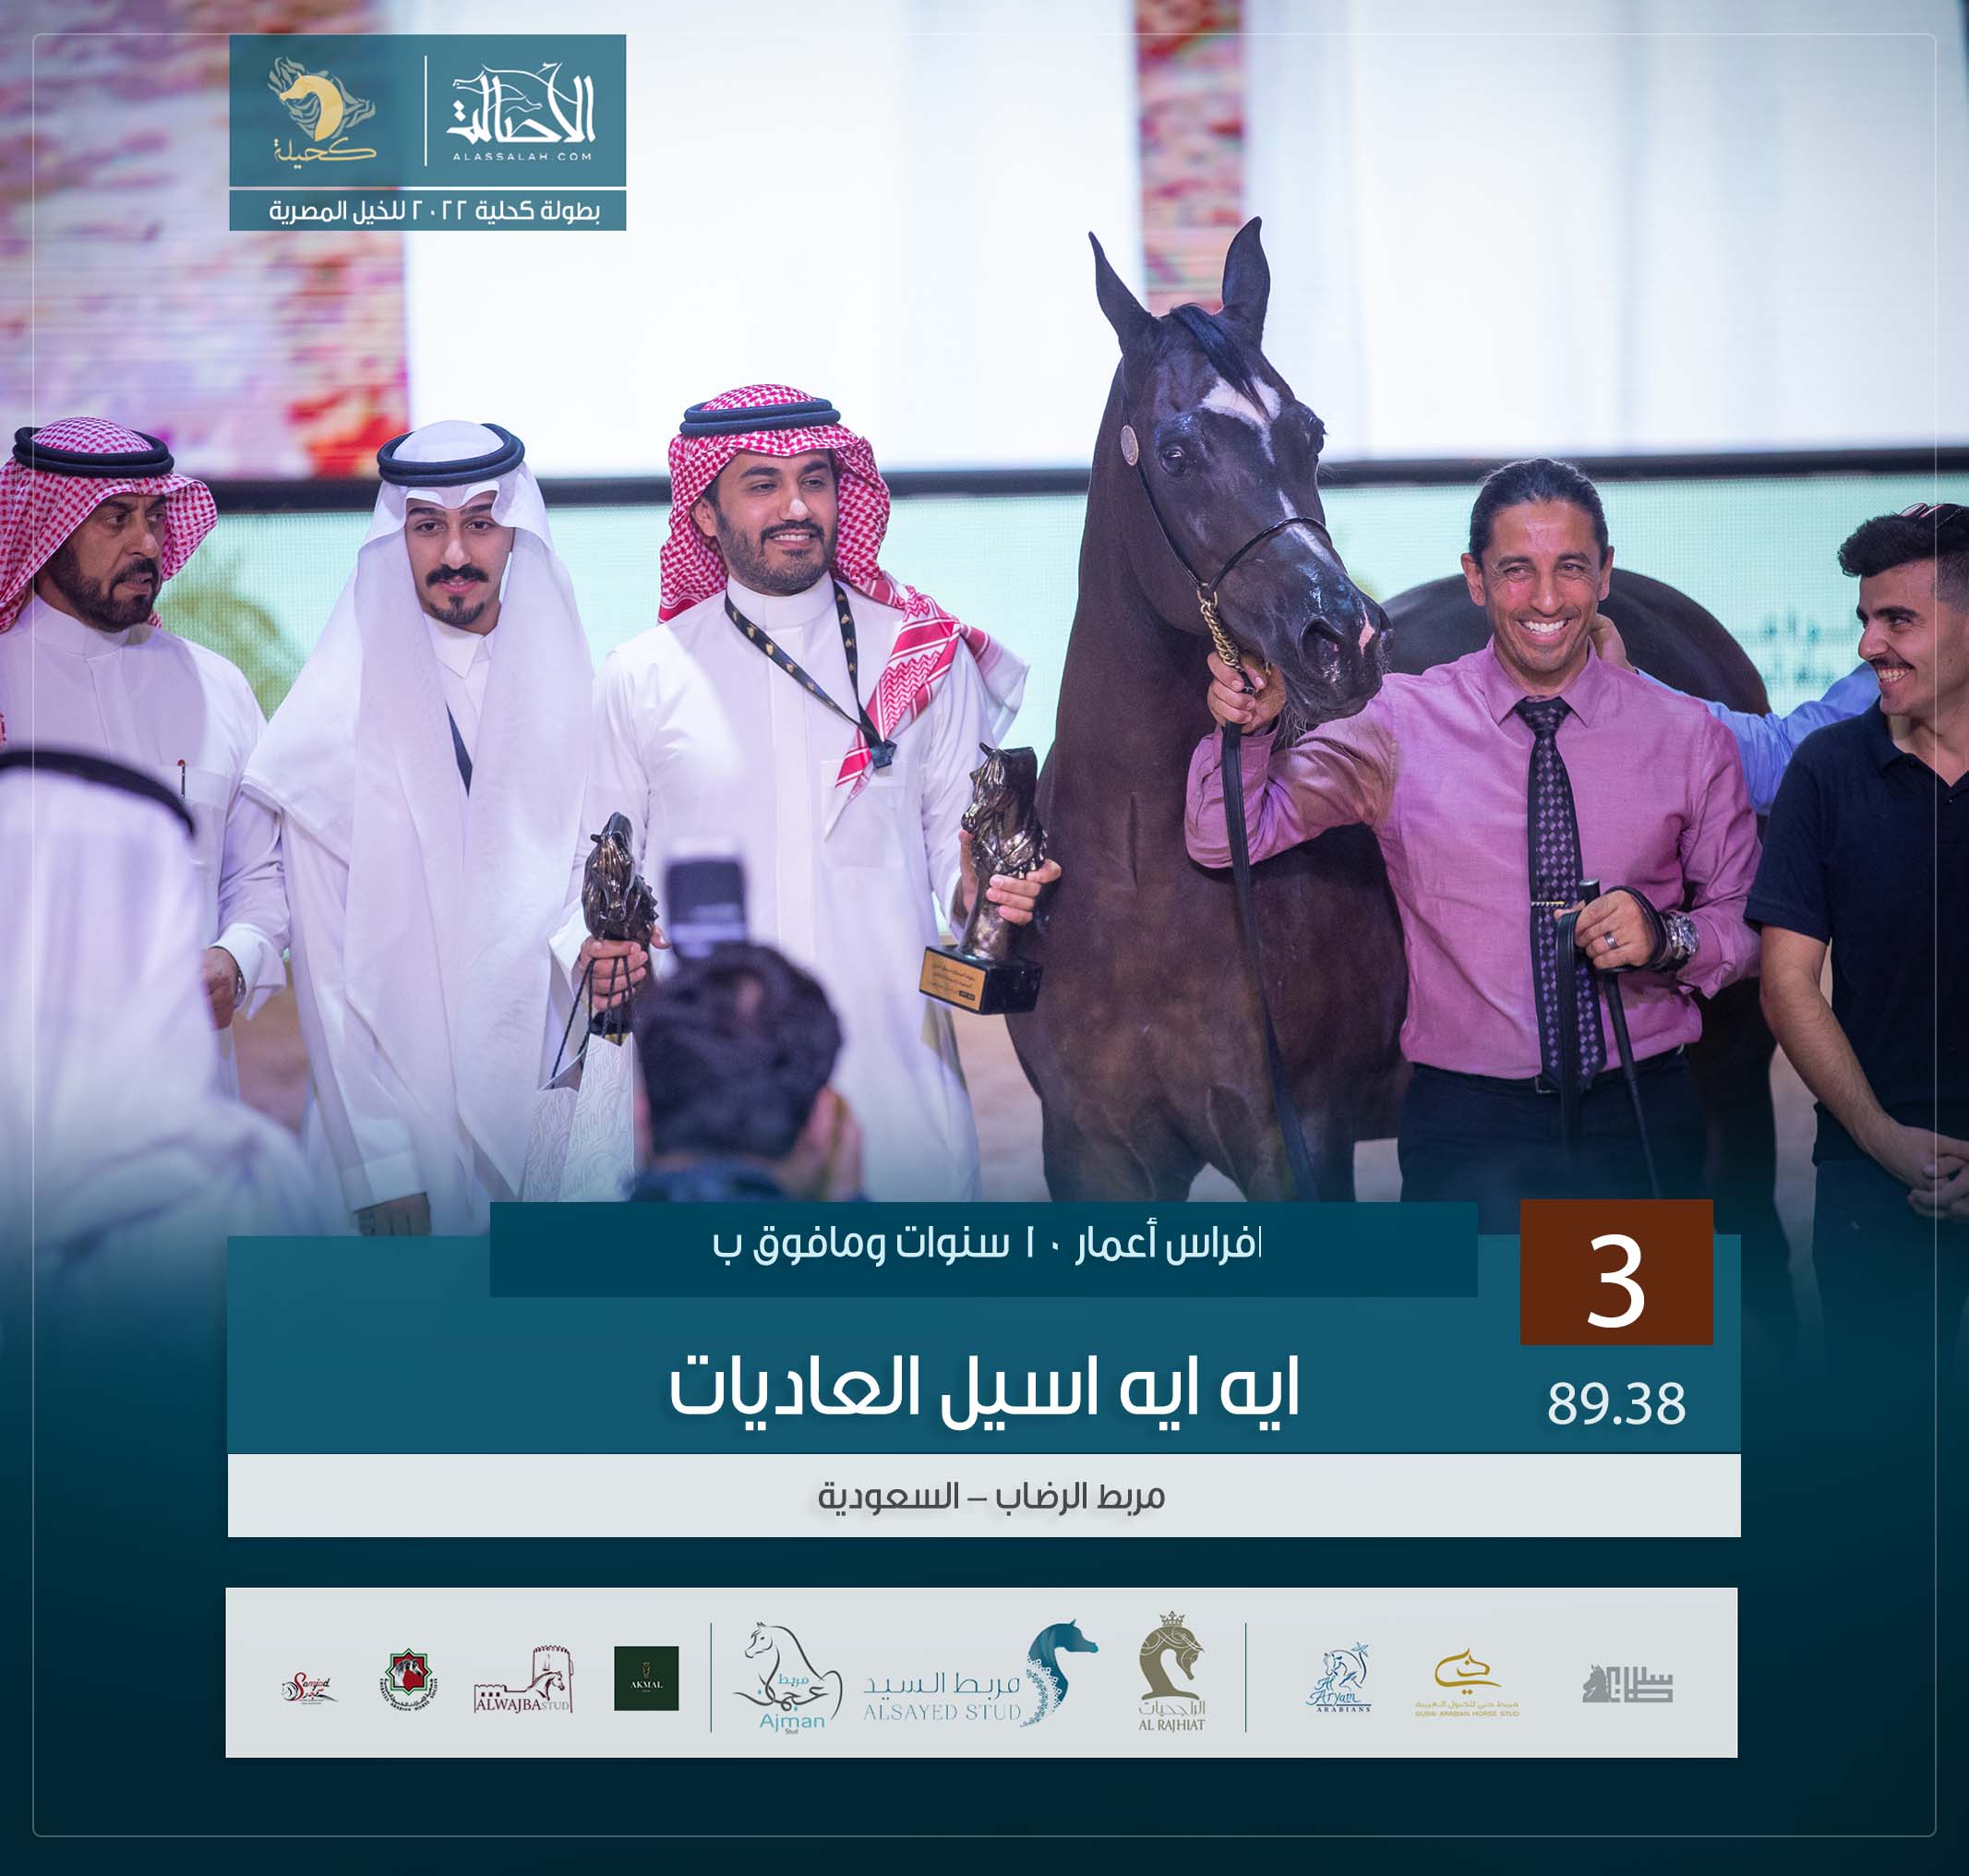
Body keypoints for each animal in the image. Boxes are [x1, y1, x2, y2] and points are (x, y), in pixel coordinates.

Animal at [1009, 217, 1407, 1201]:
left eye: (1310, 434)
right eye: (1177, 453)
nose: (1344, 638)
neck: (1139, 879)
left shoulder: (1296, 1145)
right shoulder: (1092, 1153)